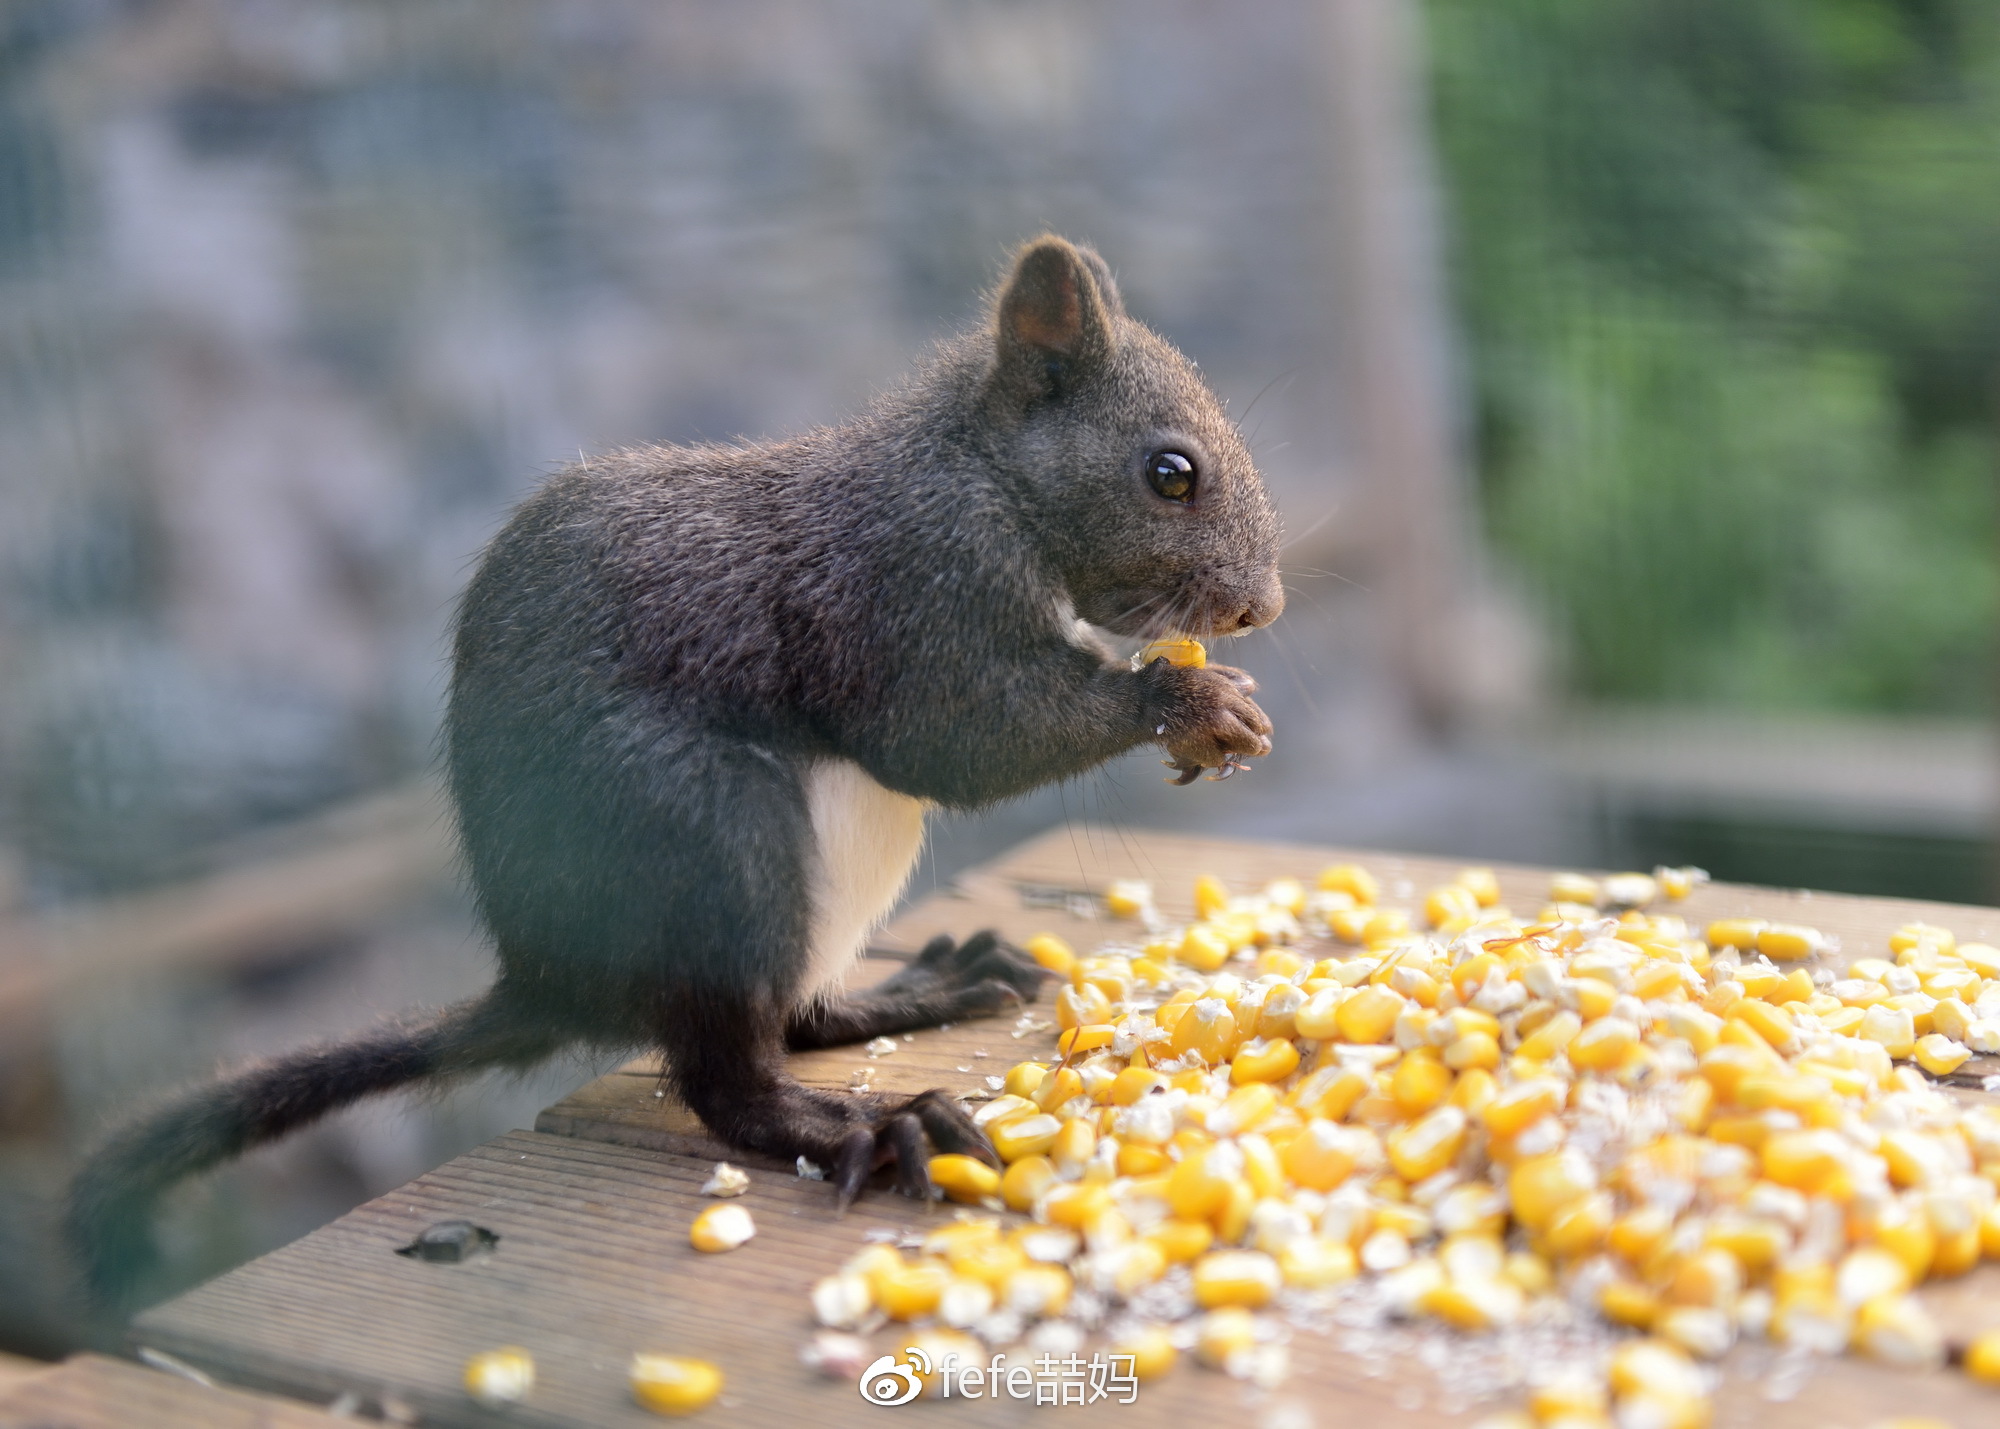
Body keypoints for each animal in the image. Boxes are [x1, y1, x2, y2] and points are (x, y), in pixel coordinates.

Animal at [66, 236, 1280, 1304]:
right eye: (1170, 473)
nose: (1258, 607)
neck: (982, 475)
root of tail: (549, 977)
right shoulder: (911, 591)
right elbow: (962, 736)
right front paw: (1186, 704)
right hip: (711, 836)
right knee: (726, 1077)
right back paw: (871, 1125)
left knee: (792, 1019)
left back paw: (918, 988)